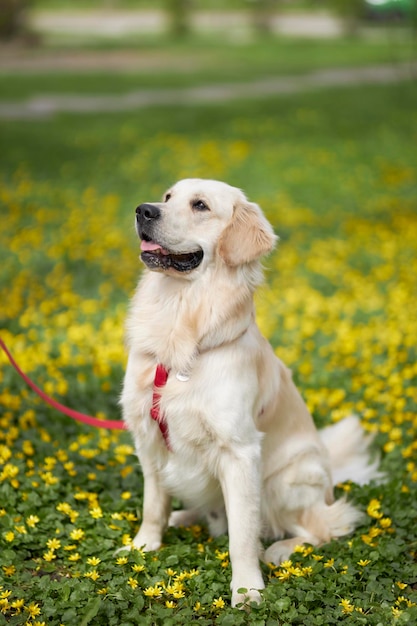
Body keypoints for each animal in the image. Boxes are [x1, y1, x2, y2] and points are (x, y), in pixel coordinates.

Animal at [119, 178, 376, 608]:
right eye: (168, 197)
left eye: (200, 205)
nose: (143, 210)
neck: (180, 315)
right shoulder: (148, 437)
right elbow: (153, 504)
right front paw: (143, 545)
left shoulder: (239, 452)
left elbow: (241, 533)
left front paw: (247, 588)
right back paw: (182, 517)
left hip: (287, 479)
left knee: (323, 527)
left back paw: (279, 549)